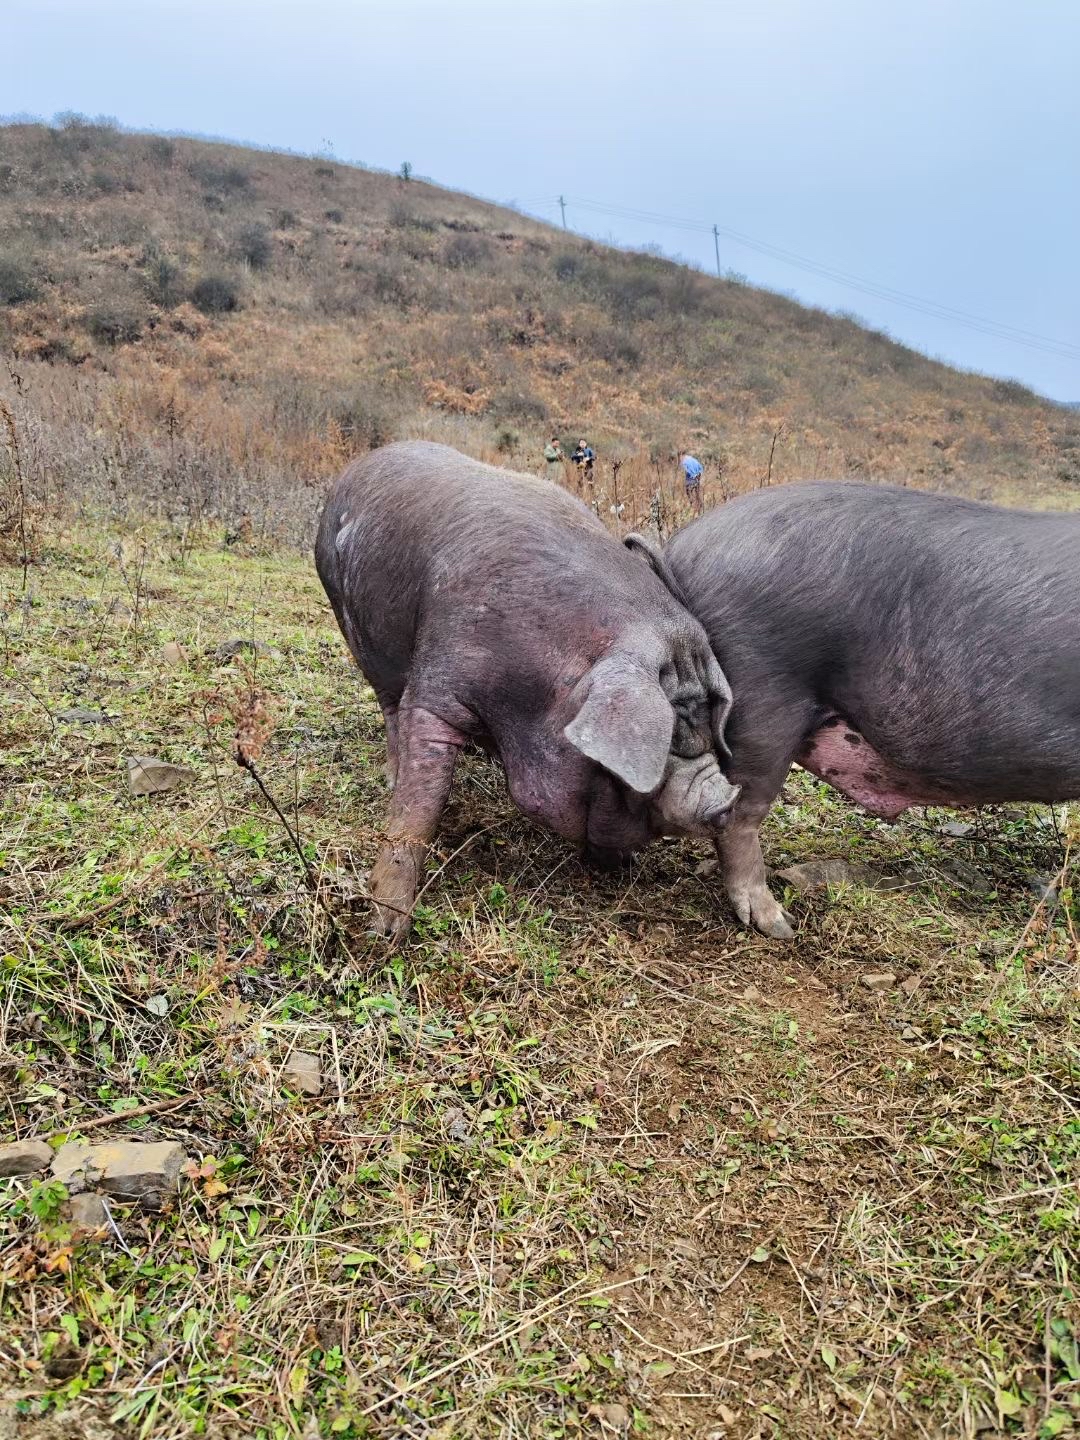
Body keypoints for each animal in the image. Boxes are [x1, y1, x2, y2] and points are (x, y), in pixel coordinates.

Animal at [312, 443, 737, 938]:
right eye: (666, 741)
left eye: (706, 725)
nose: (726, 797)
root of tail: (355, 468)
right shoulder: (440, 679)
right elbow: (422, 802)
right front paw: (384, 930)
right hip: (348, 617)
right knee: (389, 706)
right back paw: (392, 777)